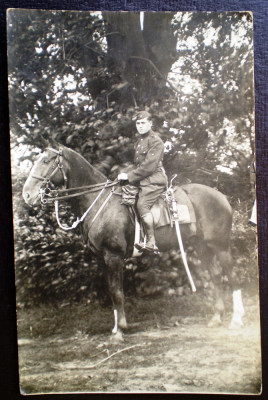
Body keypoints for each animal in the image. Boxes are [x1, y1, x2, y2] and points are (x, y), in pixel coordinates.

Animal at [22, 142, 245, 336]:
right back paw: (216, 318)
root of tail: (221, 196)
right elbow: (112, 291)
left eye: (46, 161)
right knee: (216, 276)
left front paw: (120, 329)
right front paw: (116, 328)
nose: (27, 195)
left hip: (221, 247)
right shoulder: (102, 259)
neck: (101, 203)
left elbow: (118, 292)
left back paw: (236, 320)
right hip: (202, 247)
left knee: (232, 276)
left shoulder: (113, 256)